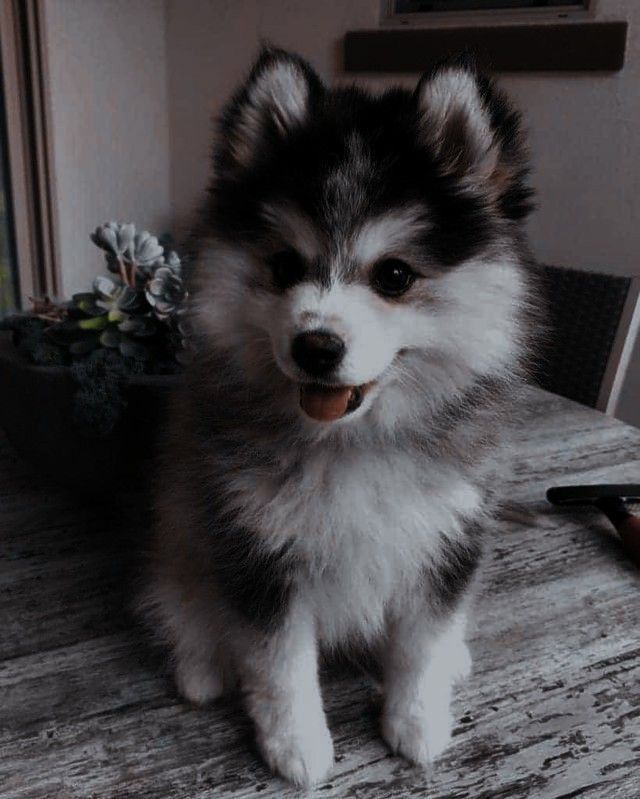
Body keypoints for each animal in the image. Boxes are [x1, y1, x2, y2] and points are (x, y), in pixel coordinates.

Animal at [142, 48, 536, 788]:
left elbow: (421, 643)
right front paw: (297, 744)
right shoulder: (256, 548)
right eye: (284, 265)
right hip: (183, 526)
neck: (352, 440)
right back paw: (203, 666)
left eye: (394, 275)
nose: (315, 346)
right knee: (183, 599)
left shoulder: (448, 534)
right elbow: (279, 664)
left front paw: (417, 722)